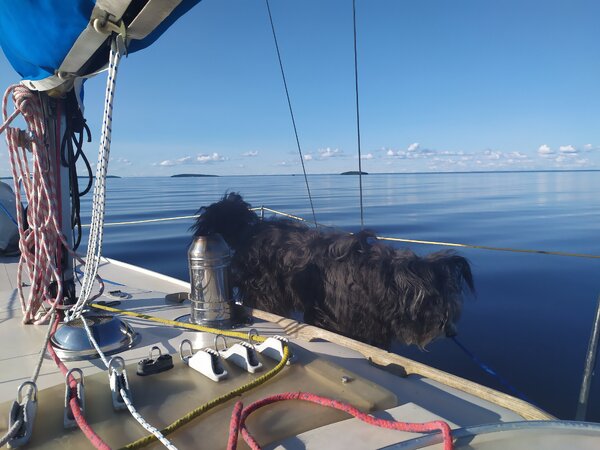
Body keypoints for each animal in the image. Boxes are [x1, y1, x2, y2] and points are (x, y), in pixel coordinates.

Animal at [192, 192, 474, 348]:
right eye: (434, 303)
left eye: (452, 304)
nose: (452, 332)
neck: (380, 281)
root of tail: (250, 229)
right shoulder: (331, 315)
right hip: (265, 290)